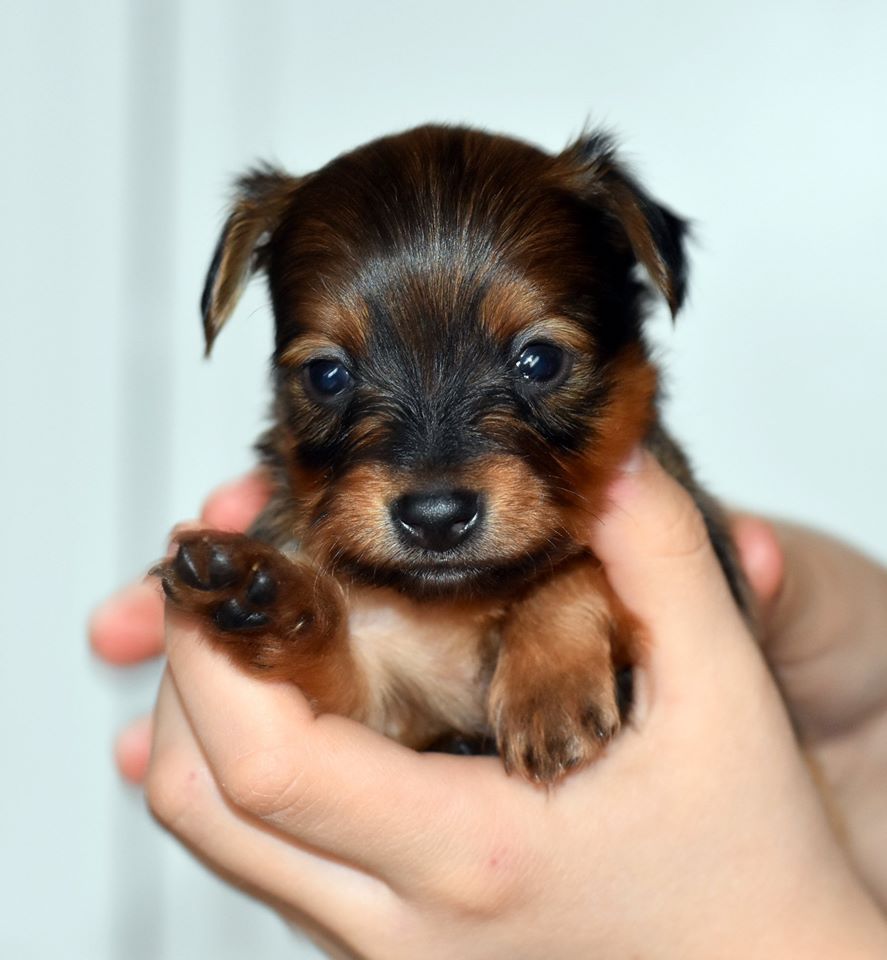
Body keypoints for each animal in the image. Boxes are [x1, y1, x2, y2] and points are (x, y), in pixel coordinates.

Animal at [156, 124, 748, 784]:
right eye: (327, 375)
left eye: (541, 361)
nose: (435, 517)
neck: (457, 603)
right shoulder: (381, 706)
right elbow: (337, 668)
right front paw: (261, 592)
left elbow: (573, 568)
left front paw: (549, 687)